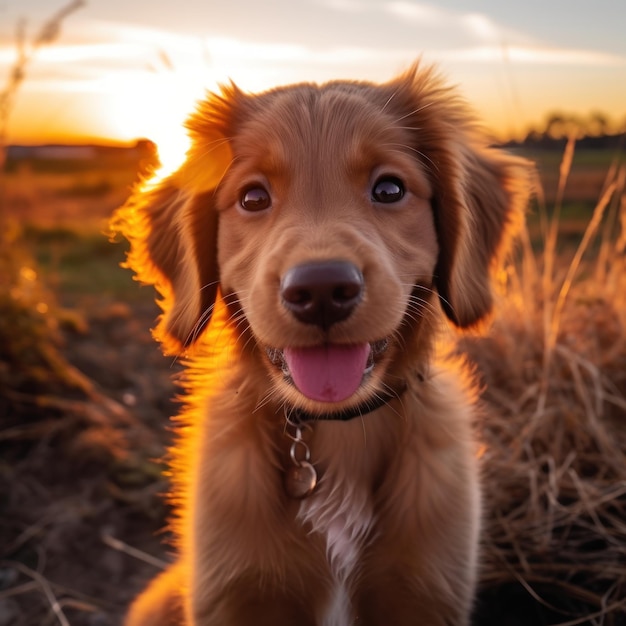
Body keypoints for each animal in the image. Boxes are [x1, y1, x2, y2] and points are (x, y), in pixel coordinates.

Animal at [112, 61, 528, 620]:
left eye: (389, 190)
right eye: (253, 197)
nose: (322, 290)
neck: (336, 430)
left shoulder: (426, 589)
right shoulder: (235, 591)